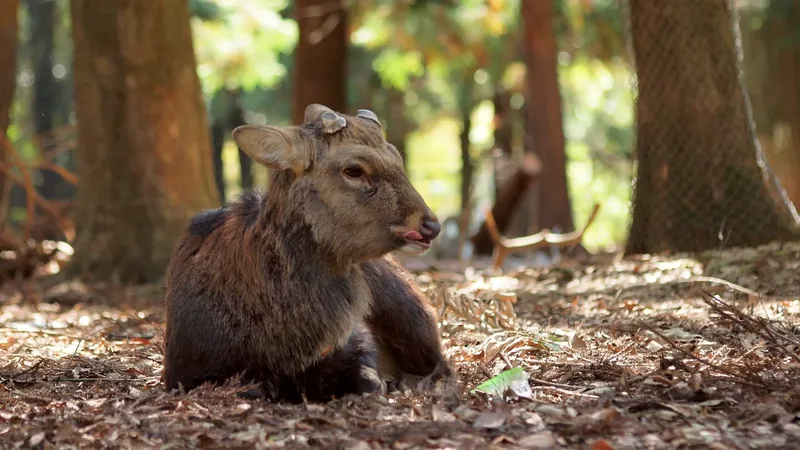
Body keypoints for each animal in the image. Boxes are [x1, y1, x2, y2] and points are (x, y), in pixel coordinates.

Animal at [163, 104, 454, 403]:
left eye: (396, 156)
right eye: (353, 170)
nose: (431, 225)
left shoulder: (356, 338)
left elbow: (369, 380)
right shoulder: (186, 374)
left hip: (408, 307)